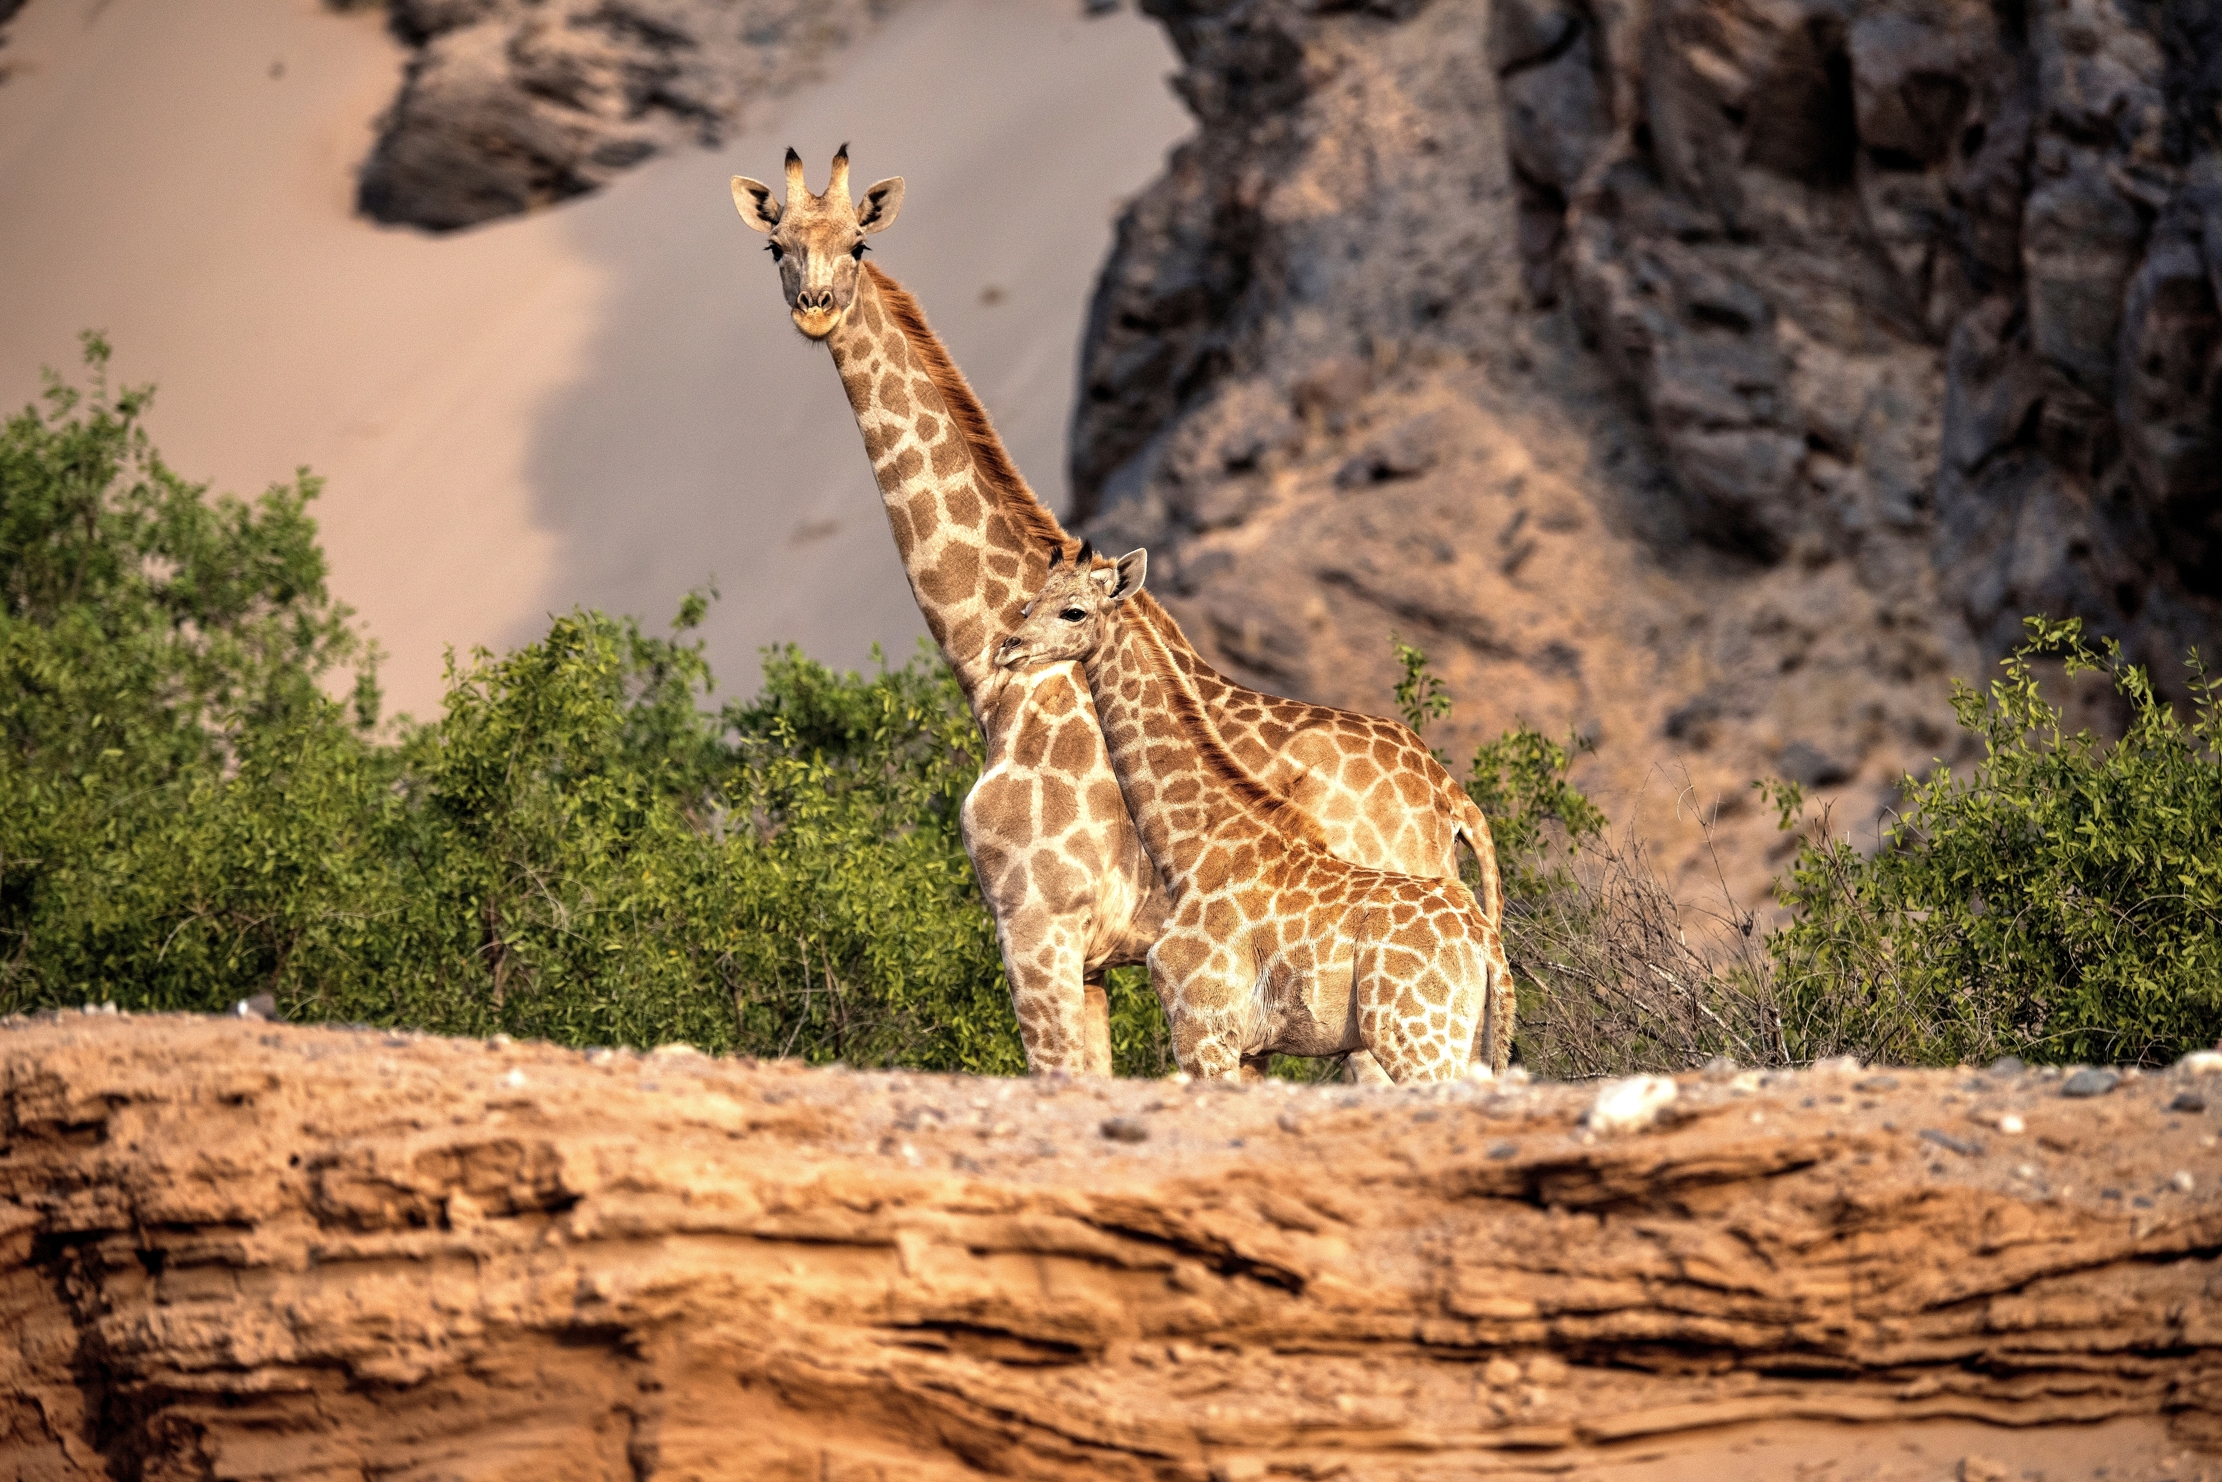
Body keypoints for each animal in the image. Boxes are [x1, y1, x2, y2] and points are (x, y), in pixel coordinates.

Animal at [996, 547, 1503, 1082]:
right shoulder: (1246, 1047)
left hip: (1417, 1036)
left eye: (1073, 611)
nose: (1008, 648)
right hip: (1471, 1042)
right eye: (1028, 606)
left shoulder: (1202, 1028)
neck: (1189, 849)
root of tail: (1485, 944)